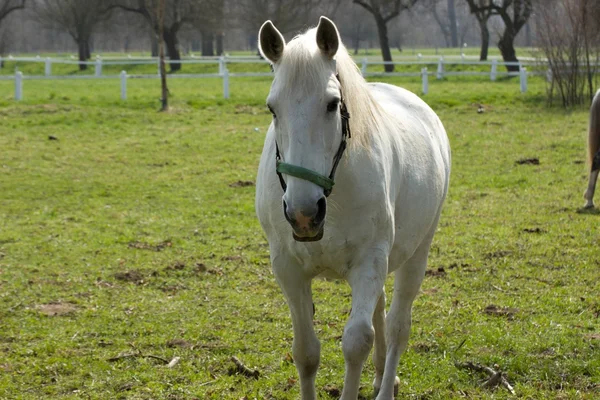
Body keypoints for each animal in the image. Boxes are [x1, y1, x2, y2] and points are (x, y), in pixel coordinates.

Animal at [253, 17, 450, 398]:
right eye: (272, 108)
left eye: (332, 104)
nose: (304, 213)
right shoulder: (287, 267)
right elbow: (306, 351)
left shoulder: (368, 260)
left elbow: (357, 342)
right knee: (381, 307)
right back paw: (380, 373)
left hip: (418, 251)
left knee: (398, 325)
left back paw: (386, 386)